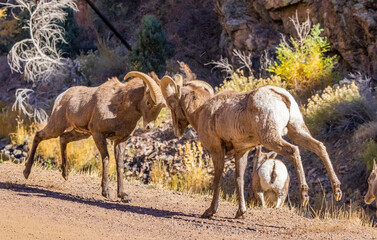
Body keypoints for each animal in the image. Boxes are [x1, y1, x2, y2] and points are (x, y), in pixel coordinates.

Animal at [23, 71, 164, 202]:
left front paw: (123, 196)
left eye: (161, 108)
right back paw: (26, 172)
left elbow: (119, 164)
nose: (149, 126)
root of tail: (62, 96)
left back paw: (65, 174)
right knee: (39, 135)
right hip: (57, 127)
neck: (120, 108)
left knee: (63, 139)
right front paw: (106, 192)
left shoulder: (120, 140)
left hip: (81, 134)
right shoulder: (98, 134)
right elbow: (106, 159)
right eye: (148, 102)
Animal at [160, 74, 342, 218]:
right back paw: (337, 191)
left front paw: (210, 212)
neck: (200, 112)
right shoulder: (241, 152)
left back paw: (304, 196)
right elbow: (239, 179)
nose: (177, 131)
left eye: (170, 103)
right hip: (296, 130)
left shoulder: (217, 151)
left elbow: (217, 180)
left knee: (294, 150)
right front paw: (240, 213)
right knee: (319, 147)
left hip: (271, 138)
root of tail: (282, 96)